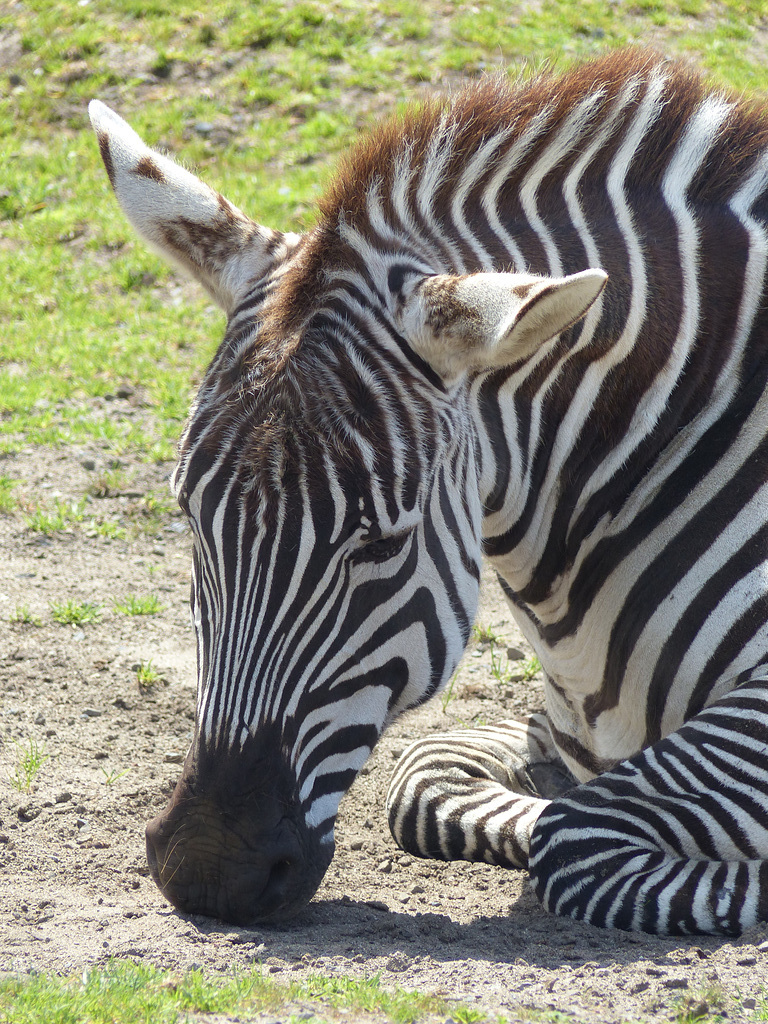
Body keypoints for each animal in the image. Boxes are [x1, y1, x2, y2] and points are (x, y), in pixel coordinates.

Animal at [90, 49, 768, 937]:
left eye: (380, 542)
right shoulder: (567, 729)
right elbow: (424, 778)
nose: (207, 869)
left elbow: (573, 837)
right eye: (189, 517)